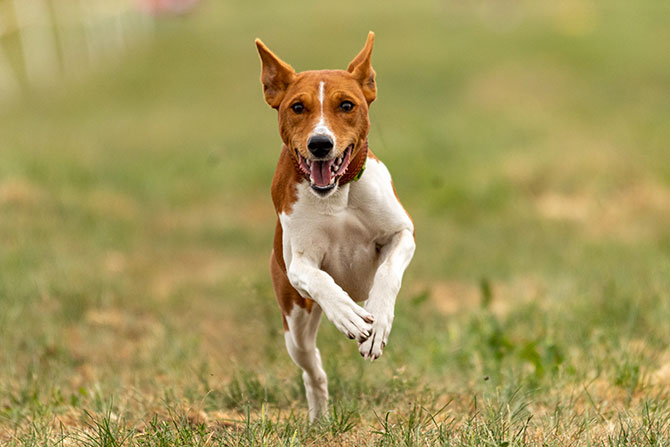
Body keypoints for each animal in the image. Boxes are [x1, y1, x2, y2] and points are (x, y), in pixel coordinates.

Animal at [256, 33, 414, 422]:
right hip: (294, 323)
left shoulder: (402, 233)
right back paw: (319, 417)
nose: (320, 143)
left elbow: (388, 273)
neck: (337, 195)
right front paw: (348, 315)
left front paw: (378, 323)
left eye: (346, 105)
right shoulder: (299, 263)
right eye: (297, 107)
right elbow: (320, 279)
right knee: (313, 369)